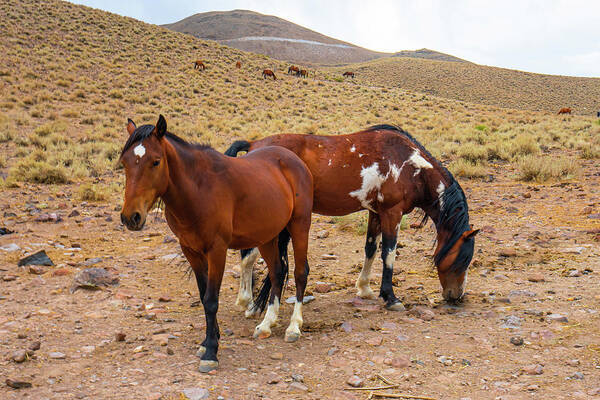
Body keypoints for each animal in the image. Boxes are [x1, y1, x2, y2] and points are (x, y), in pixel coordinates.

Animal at [118, 115, 314, 372]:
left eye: (155, 162)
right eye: (124, 163)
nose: (131, 217)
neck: (199, 189)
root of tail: (292, 159)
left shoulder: (216, 250)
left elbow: (211, 300)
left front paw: (211, 351)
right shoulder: (191, 251)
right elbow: (203, 297)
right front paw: (208, 341)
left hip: (300, 226)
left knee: (300, 273)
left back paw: (293, 327)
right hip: (267, 236)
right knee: (277, 272)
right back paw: (266, 324)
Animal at [225, 123, 478, 310]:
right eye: (462, 260)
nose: (456, 296)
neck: (410, 166)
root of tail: (254, 144)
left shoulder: (376, 213)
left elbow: (371, 249)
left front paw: (365, 288)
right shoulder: (392, 213)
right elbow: (389, 253)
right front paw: (391, 297)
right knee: (248, 255)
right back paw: (247, 301)